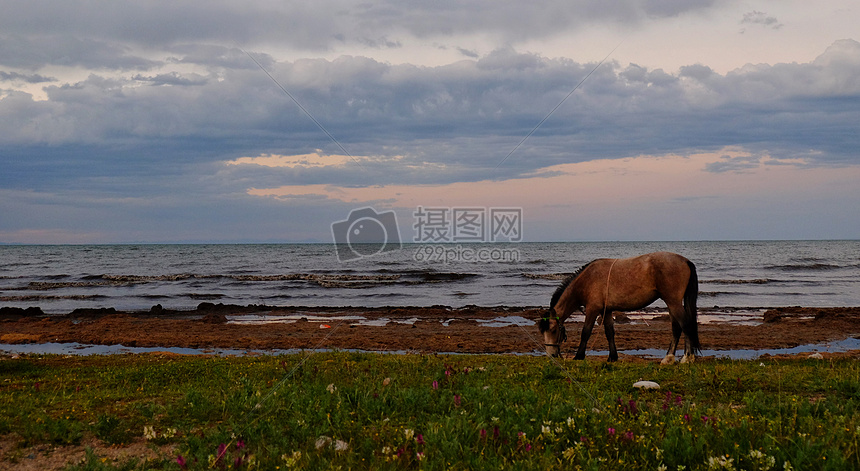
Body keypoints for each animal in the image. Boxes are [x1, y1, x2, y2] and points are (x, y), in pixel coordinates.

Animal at [536, 253, 700, 364]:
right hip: (672, 303)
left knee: (685, 325)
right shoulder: (607, 311)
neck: (587, 280)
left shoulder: (592, 310)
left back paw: (687, 358)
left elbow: (586, 332)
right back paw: (669, 358)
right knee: (676, 328)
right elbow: (610, 333)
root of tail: (685, 260)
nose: (551, 355)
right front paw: (612, 357)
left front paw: (579, 356)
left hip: (673, 302)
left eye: (553, 330)